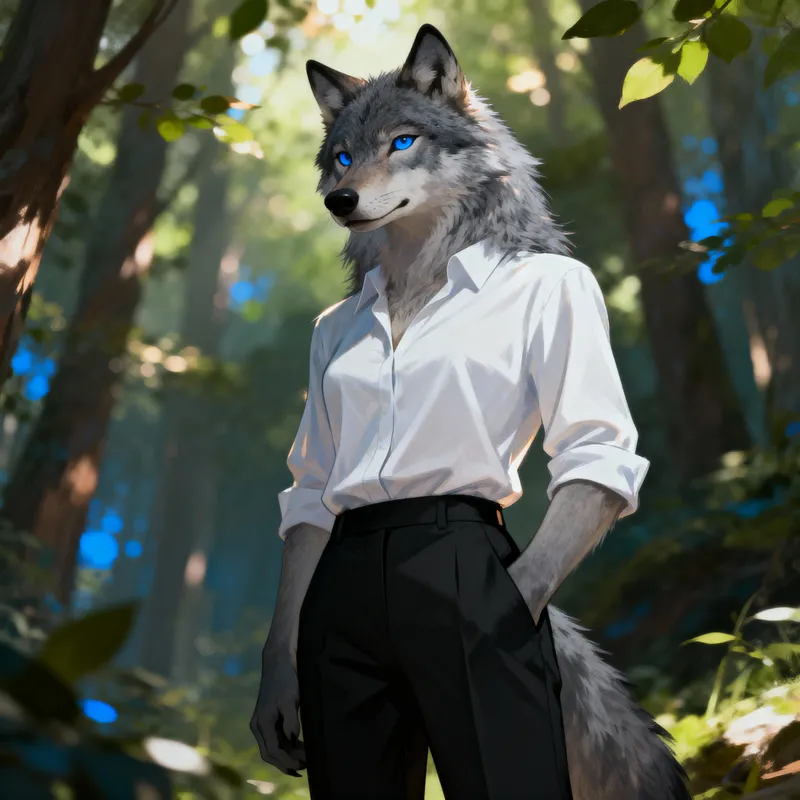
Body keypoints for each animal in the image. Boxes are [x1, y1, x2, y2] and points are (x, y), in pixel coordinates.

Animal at [286, 23, 691, 800]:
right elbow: (309, 496)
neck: (421, 270)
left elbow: (594, 451)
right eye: (344, 156)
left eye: (403, 142)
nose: (340, 200)